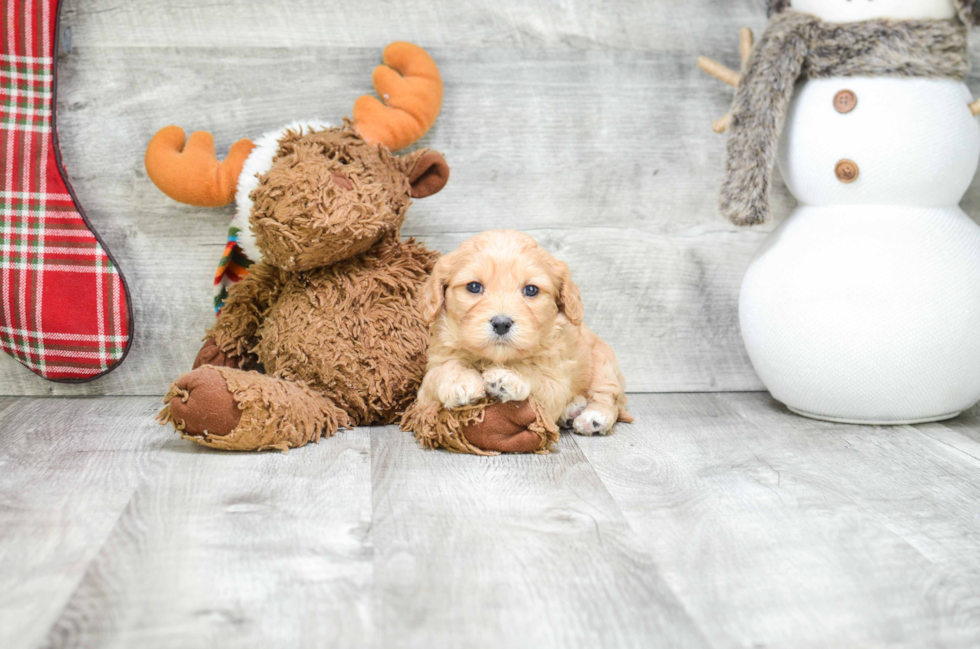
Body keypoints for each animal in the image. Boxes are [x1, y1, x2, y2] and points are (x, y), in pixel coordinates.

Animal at [416, 228, 632, 436]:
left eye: (531, 290)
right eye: (474, 286)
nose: (501, 324)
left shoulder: (556, 381)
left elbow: (535, 374)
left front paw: (508, 378)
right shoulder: (426, 387)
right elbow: (444, 368)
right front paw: (460, 381)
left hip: (603, 363)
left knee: (608, 396)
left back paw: (593, 417)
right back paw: (572, 410)